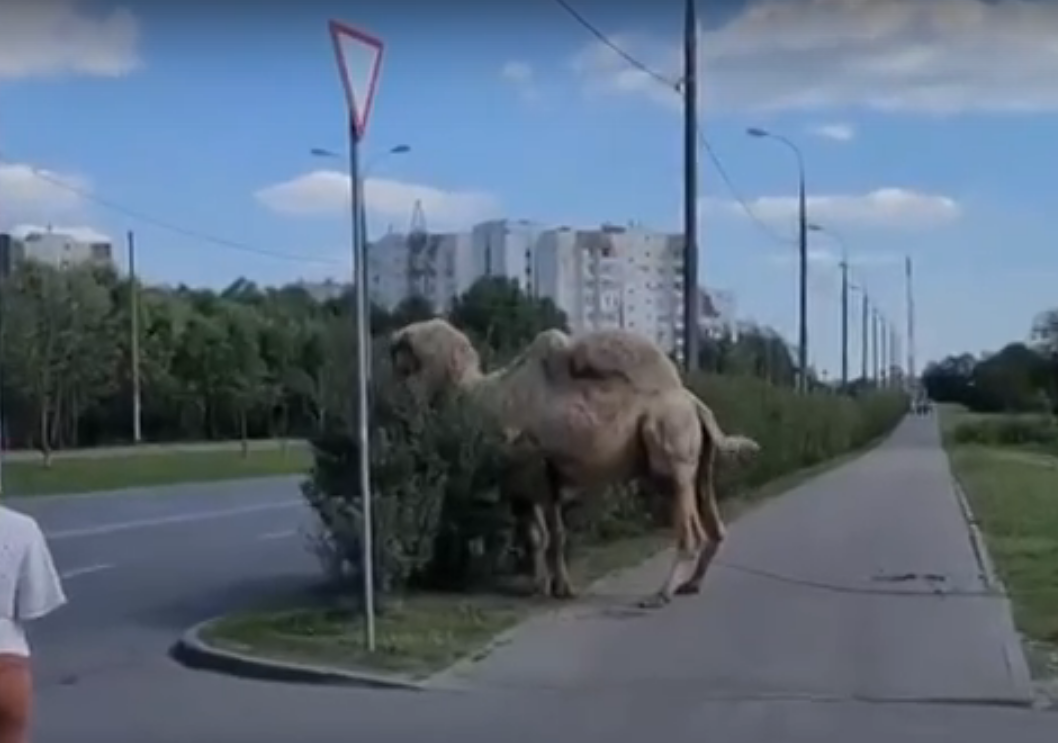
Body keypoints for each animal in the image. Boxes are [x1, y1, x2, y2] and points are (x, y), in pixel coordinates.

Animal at [389, 319, 761, 609]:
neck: (474, 395)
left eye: (402, 353)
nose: (389, 349)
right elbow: (553, 534)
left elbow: (538, 536)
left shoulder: (526, 471)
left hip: (670, 446)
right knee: (714, 523)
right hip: (698, 459)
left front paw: (543, 588)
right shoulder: (544, 478)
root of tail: (695, 403)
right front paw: (558, 588)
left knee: (689, 529)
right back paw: (690, 585)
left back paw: (660, 594)